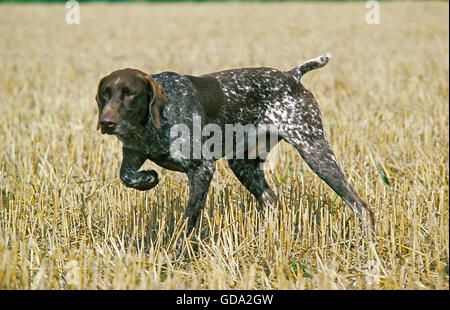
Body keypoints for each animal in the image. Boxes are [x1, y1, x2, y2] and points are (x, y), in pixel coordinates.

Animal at [96, 54, 374, 236]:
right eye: (105, 95)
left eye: (130, 93)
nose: (106, 123)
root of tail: (291, 76)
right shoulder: (132, 152)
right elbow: (126, 175)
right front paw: (148, 179)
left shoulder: (202, 169)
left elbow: (190, 219)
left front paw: (181, 254)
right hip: (243, 164)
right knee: (272, 202)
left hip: (314, 149)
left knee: (360, 206)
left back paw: (367, 244)